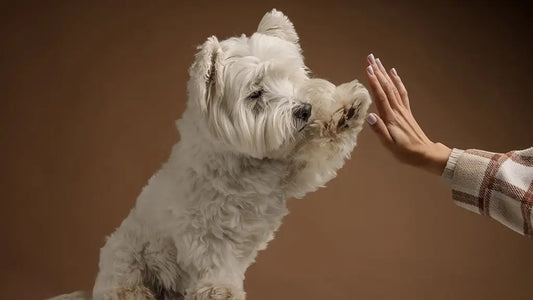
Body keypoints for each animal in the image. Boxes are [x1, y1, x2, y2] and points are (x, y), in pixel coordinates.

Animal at [52, 8, 370, 298]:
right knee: (123, 283)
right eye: (255, 94)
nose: (304, 110)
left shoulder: (293, 170)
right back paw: (136, 292)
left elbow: (319, 151)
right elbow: (214, 260)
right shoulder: (203, 227)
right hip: (126, 255)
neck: (245, 161)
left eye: (288, 77)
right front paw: (220, 290)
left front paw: (347, 110)